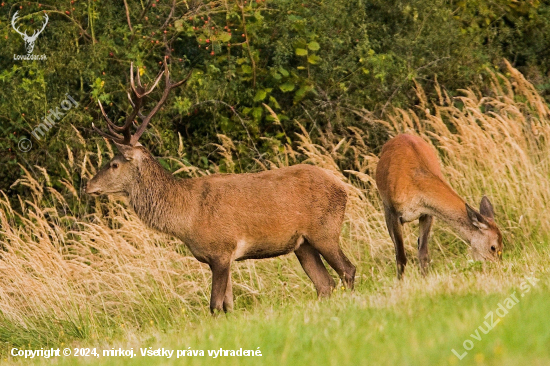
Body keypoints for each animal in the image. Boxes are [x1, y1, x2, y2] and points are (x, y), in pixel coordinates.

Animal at [84, 58, 356, 314]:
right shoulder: (218, 257)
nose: (88, 185)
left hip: (325, 230)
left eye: (114, 164)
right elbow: (229, 305)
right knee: (325, 284)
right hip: (303, 244)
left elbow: (215, 305)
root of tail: (342, 187)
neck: (187, 217)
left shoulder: (222, 250)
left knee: (348, 270)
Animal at [378, 134, 502, 278]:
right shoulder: (393, 211)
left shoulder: (426, 212)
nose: (495, 267)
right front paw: (401, 282)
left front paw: (424, 278)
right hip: (386, 207)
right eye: (493, 247)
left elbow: (423, 252)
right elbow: (401, 257)